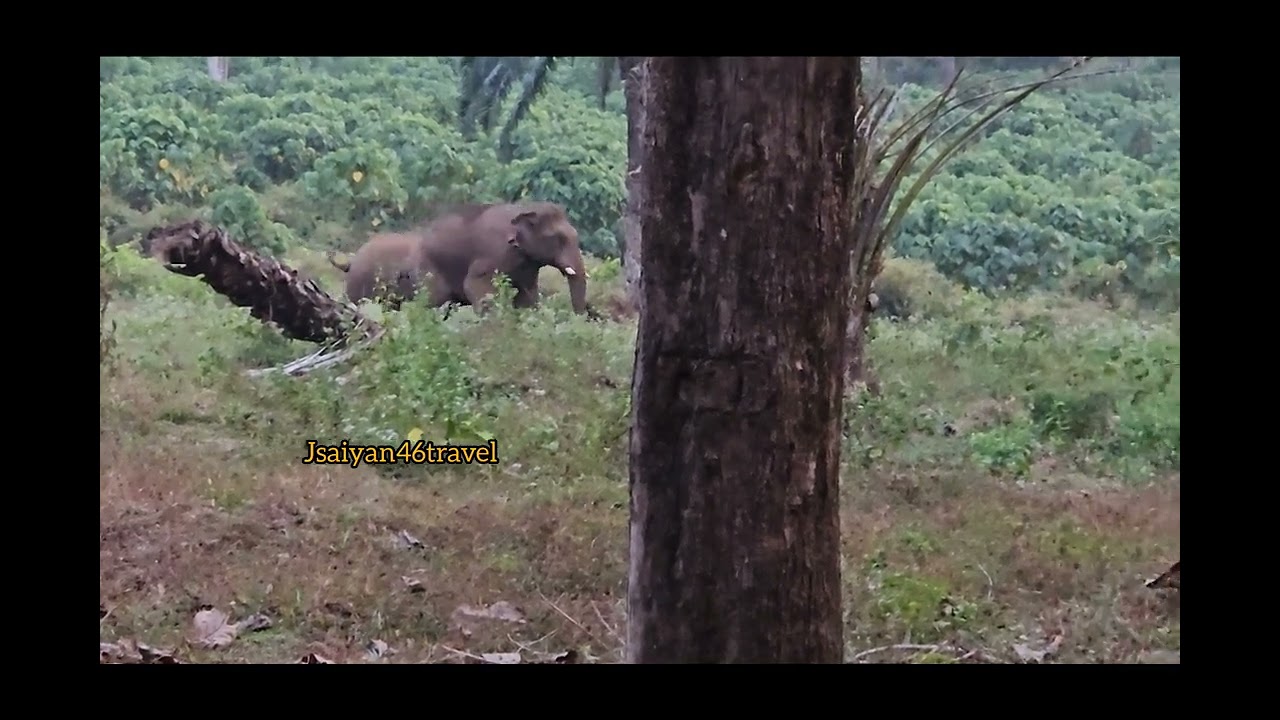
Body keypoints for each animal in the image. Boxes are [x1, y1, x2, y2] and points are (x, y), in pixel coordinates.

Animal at [410, 201, 589, 315]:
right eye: (558, 239)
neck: (527, 208)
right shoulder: (492, 254)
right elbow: (476, 287)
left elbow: (527, 296)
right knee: (433, 302)